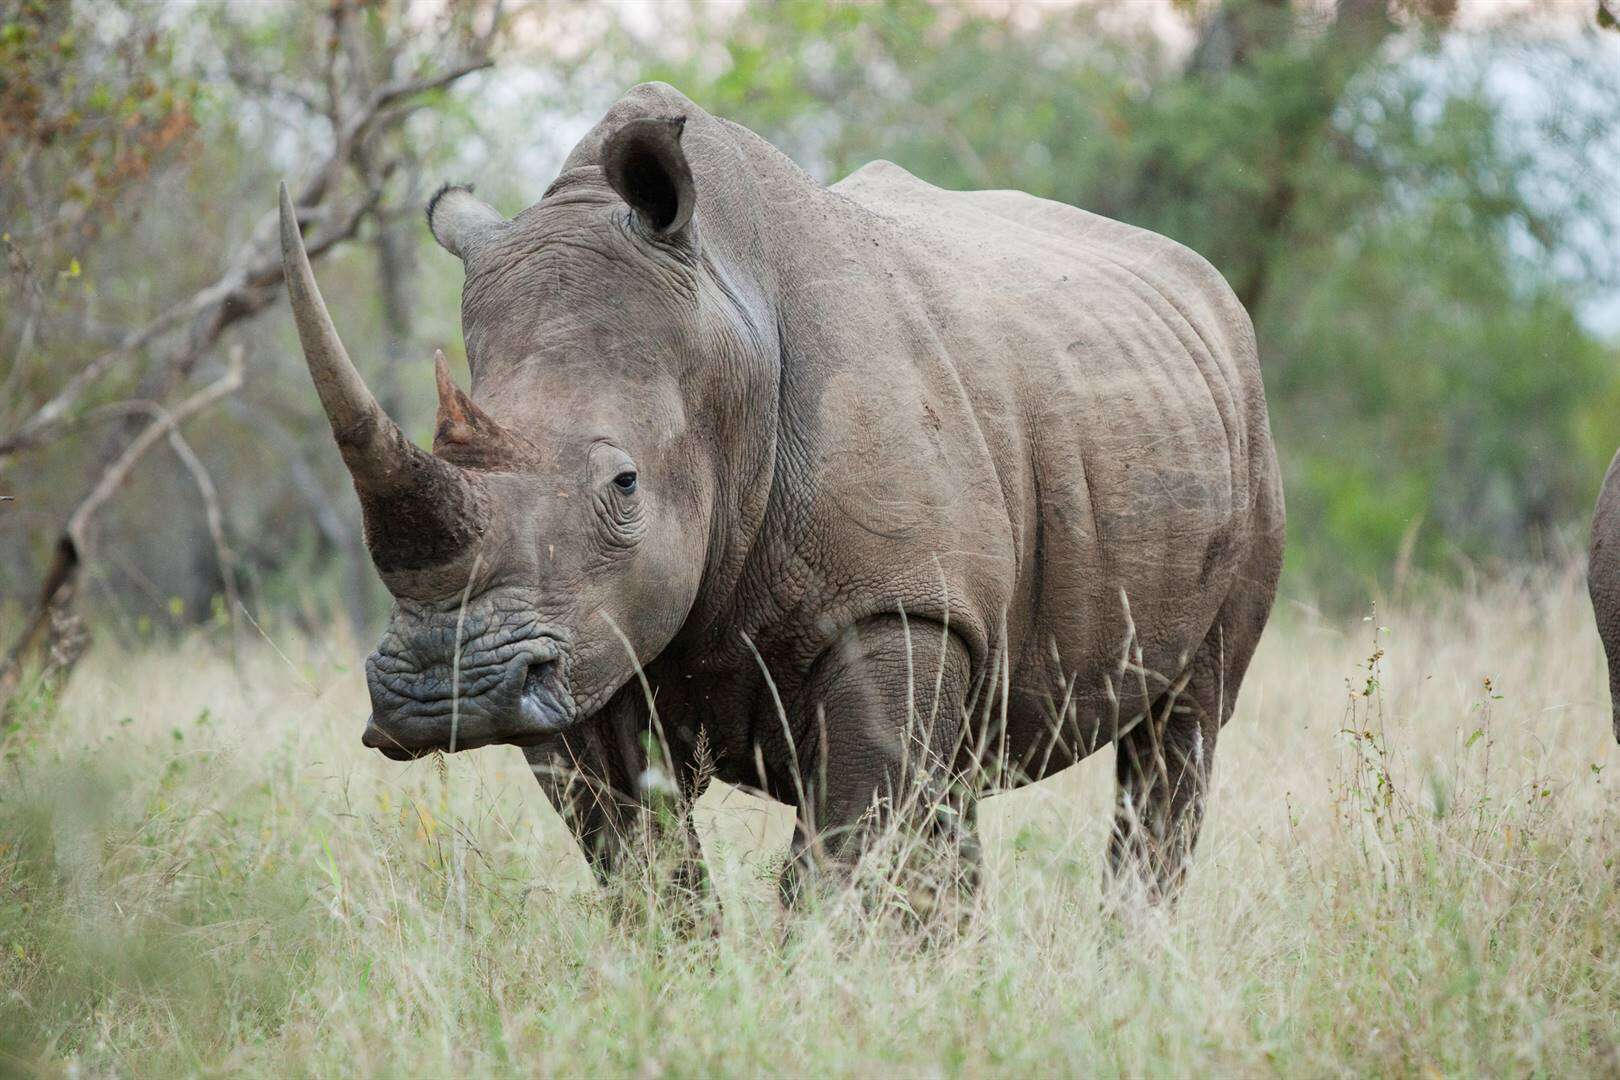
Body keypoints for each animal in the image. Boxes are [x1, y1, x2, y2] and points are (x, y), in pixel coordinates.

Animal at [281, 82, 1289, 906]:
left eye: (625, 484)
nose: (439, 692)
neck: (729, 339)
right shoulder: (583, 641)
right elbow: (645, 869)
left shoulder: (895, 603)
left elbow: (835, 854)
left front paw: (819, 989)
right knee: (952, 782)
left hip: (1245, 424)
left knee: (1181, 733)